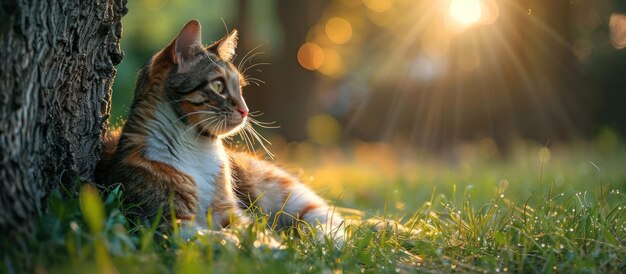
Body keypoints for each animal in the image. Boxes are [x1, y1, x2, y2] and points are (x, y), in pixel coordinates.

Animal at [95, 19, 344, 239]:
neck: (196, 148)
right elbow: (220, 240)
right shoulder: (167, 221)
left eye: (240, 89)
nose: (246, 110)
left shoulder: (230, 213)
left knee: (331, 220)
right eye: (218, 85)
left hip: (283, 191)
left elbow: (254, 236)